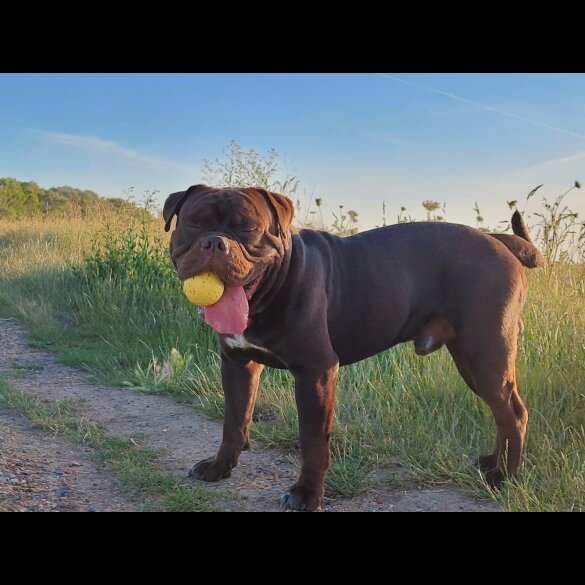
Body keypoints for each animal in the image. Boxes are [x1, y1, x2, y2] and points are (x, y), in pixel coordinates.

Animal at [162, 185, 540, 508]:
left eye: (248, 228)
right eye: (194, 223)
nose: (214, 242)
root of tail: (498, 240)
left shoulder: (315, 372)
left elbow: (313, 439)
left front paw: (306, 493)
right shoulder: (237, 364)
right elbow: (233, 422)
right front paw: (219, 466)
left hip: (485, 355)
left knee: (513, 413)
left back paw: (504, 477)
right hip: (473, 360)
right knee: (504, 412)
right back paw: (492, 463)